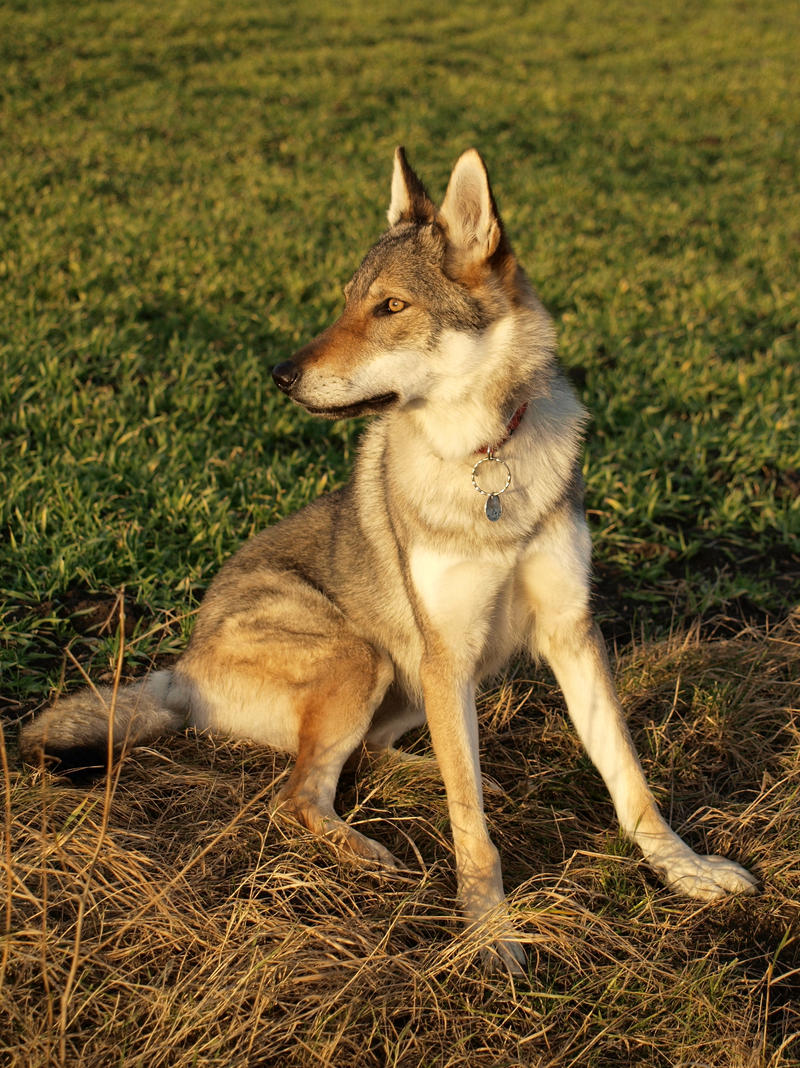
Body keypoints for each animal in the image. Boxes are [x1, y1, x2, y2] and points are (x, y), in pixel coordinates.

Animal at [20, 146, 756, 974]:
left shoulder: (570, 634)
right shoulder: (449, 652)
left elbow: (627, 780)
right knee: (301, 794)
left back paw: (437, 773)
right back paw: (373, 853)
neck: (485, 461)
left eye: (390, 307)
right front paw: (490, 931)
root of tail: (183, 667)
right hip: (365, 656)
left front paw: (687, 871)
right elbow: (471, 830)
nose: (280, 374)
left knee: (379, 756)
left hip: (401, 674)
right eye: (346, 302)